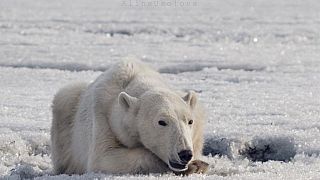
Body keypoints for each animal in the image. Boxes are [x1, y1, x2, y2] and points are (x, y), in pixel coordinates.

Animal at [51, 59, 209, 175]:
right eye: (162, 122)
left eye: (190, 121)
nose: (185, 154)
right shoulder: (103, 117)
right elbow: (104, 157)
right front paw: (195, 166)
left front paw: (198, 164)